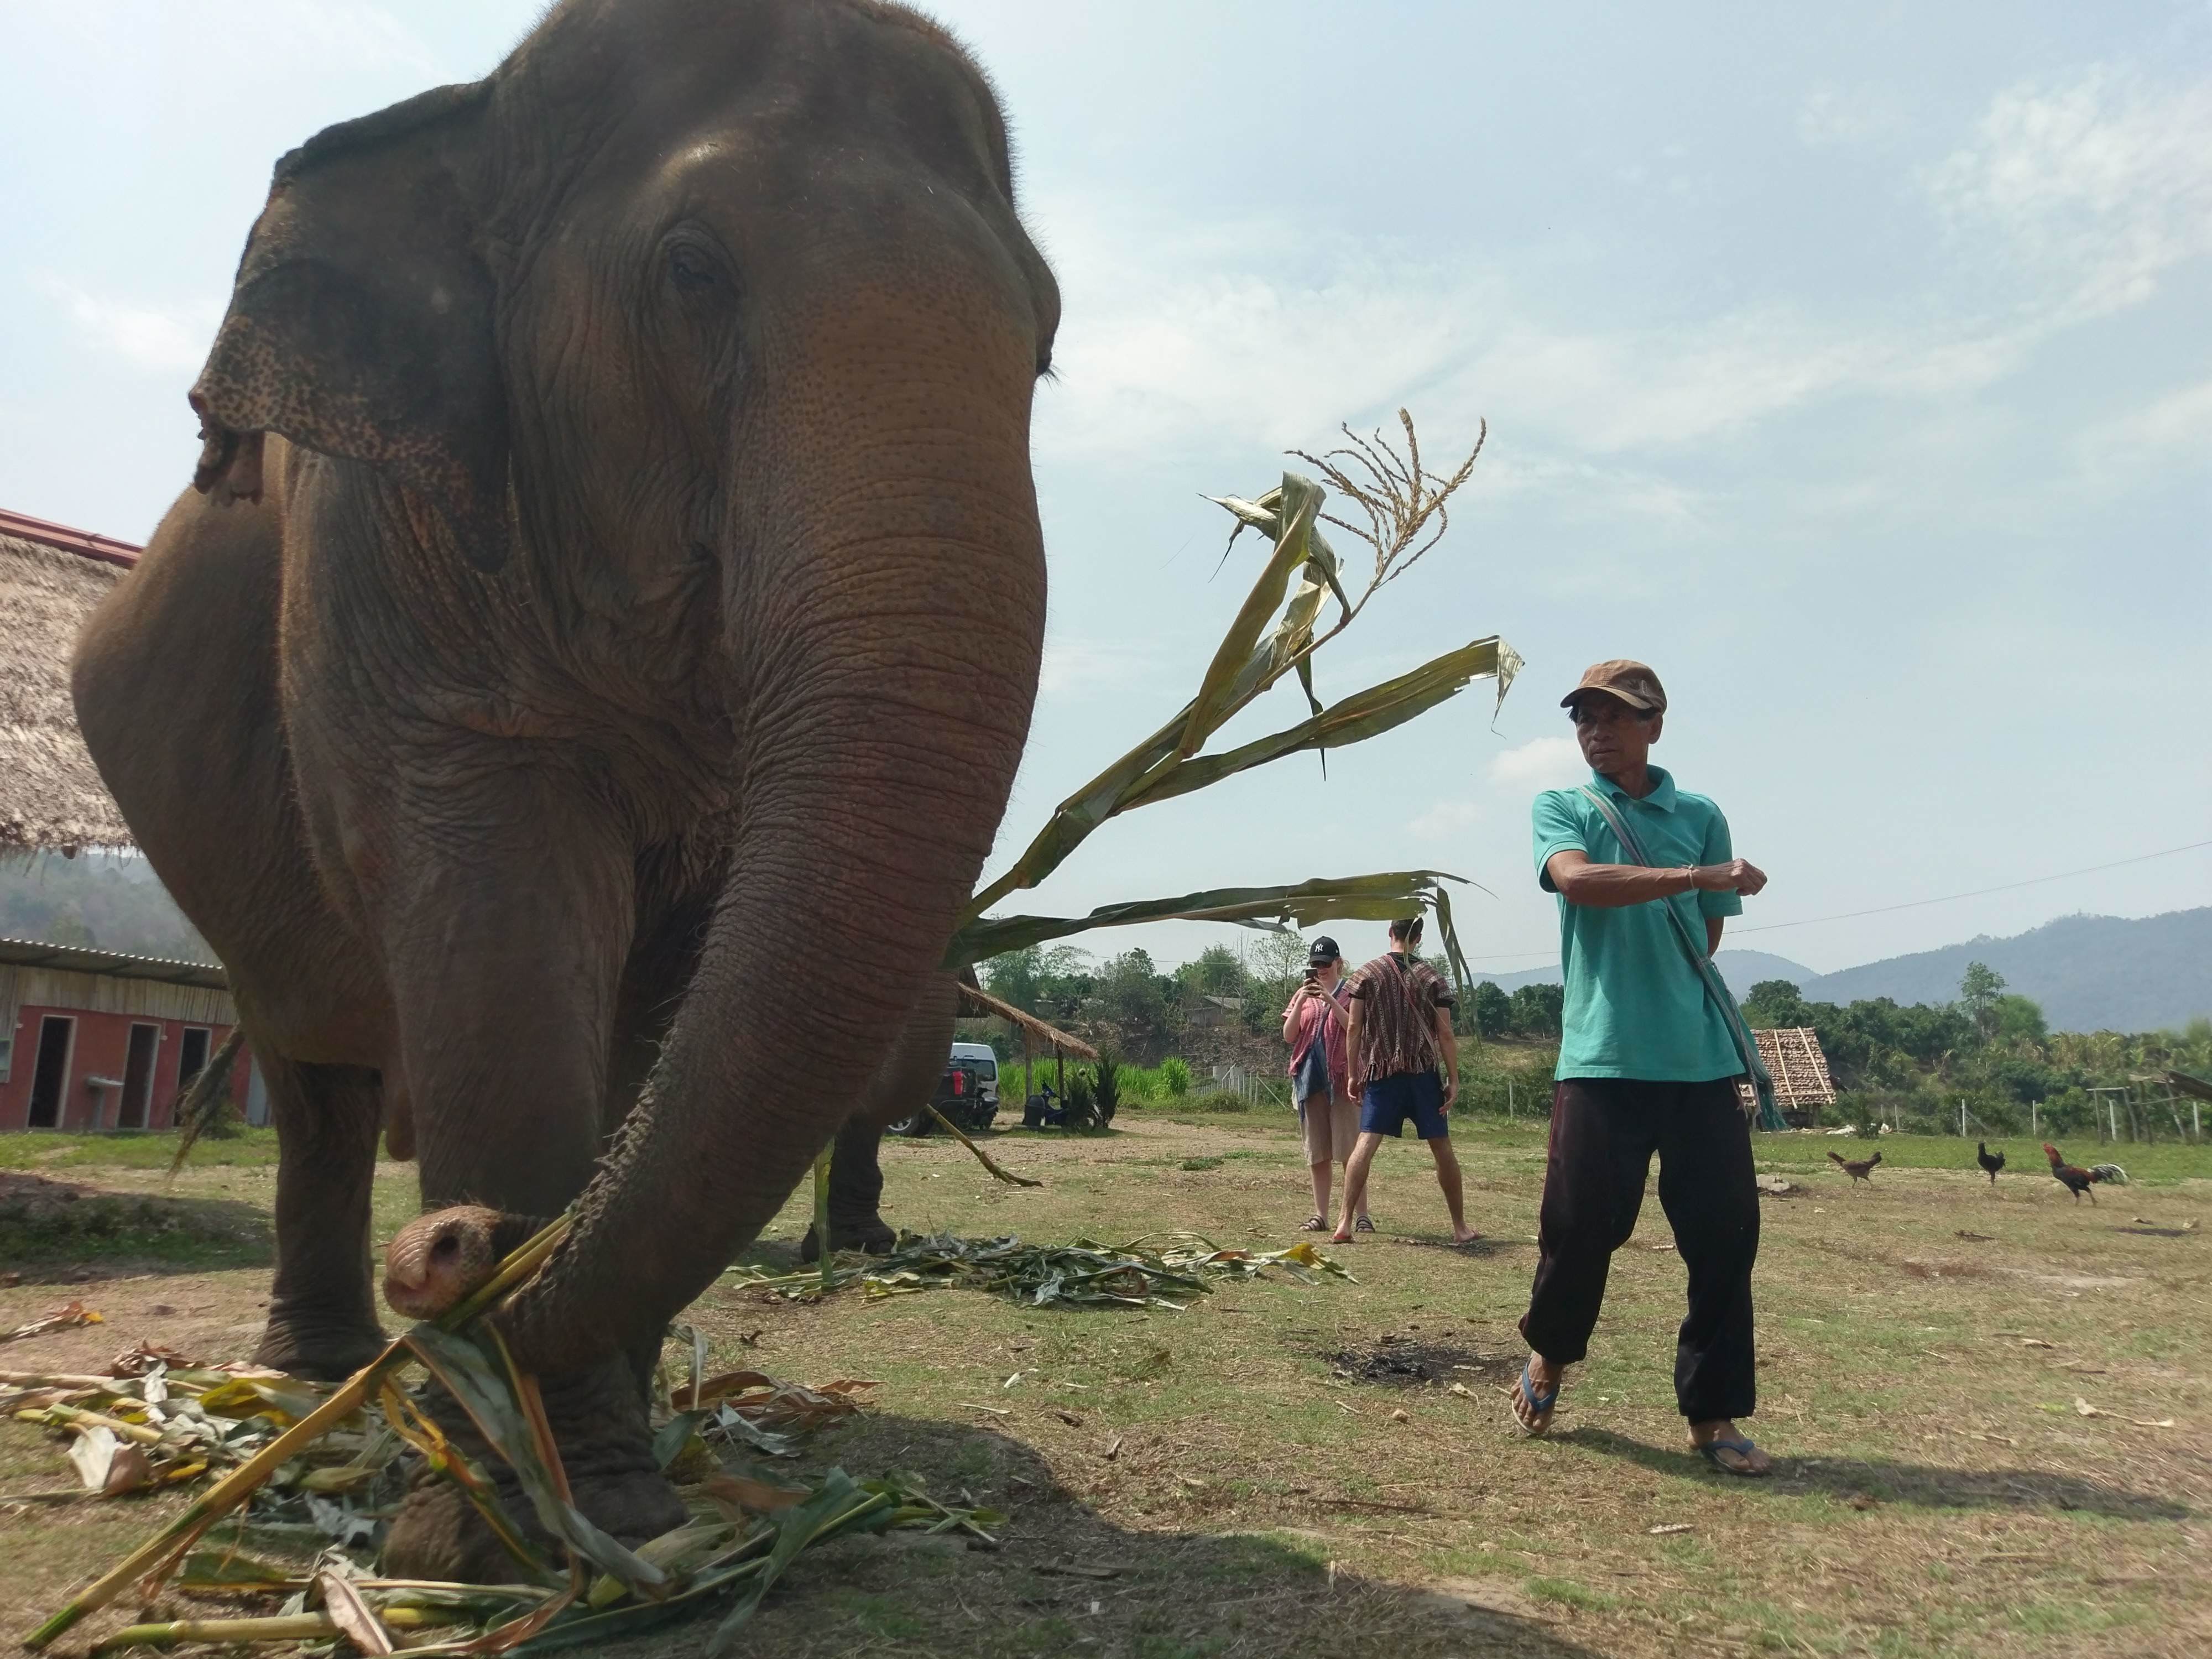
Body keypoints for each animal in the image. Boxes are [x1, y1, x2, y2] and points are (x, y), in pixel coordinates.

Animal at [74, 0, 1057, 1584]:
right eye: (691, 274)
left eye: (1043, 342)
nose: (455, 1249)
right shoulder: (391, 563)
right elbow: (501, 934)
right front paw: (494, 1537)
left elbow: (657, 1008)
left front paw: (607, 1497)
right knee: (315, 1075)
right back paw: (310, 1376)